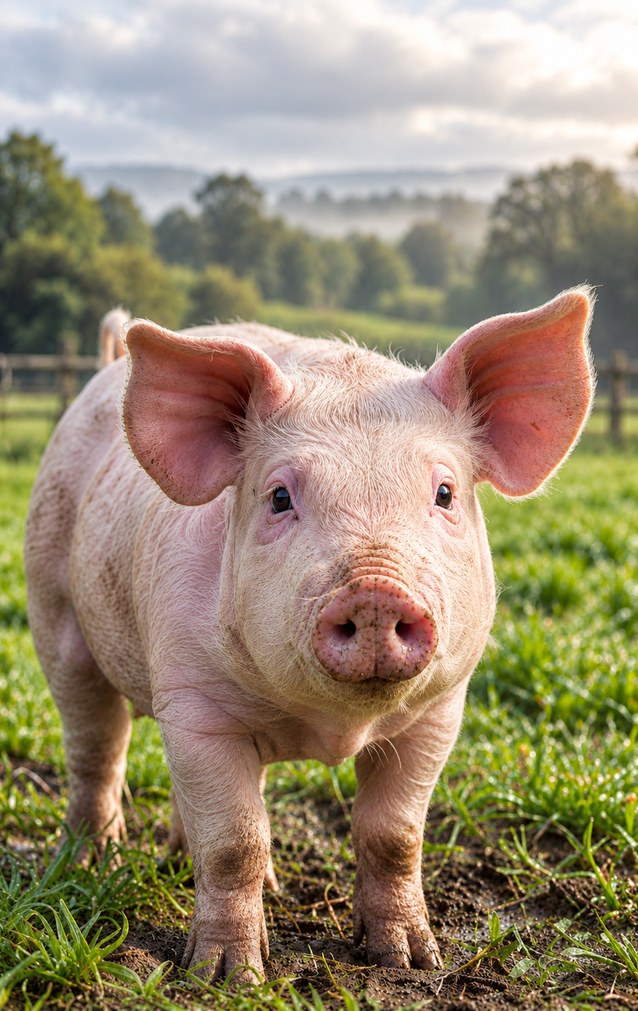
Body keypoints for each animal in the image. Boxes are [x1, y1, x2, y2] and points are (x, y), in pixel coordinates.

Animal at [25, 288, 594, 982]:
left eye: (444, 492)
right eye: (278, 497)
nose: (375, 589)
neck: (329, 727)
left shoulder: (440, 711)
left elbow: (394, 836)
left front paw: (409, 961)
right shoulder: (193, 704)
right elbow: (233, 841)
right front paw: (227, 976)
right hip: (52, 605)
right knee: (95, 746)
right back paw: (89, 859)